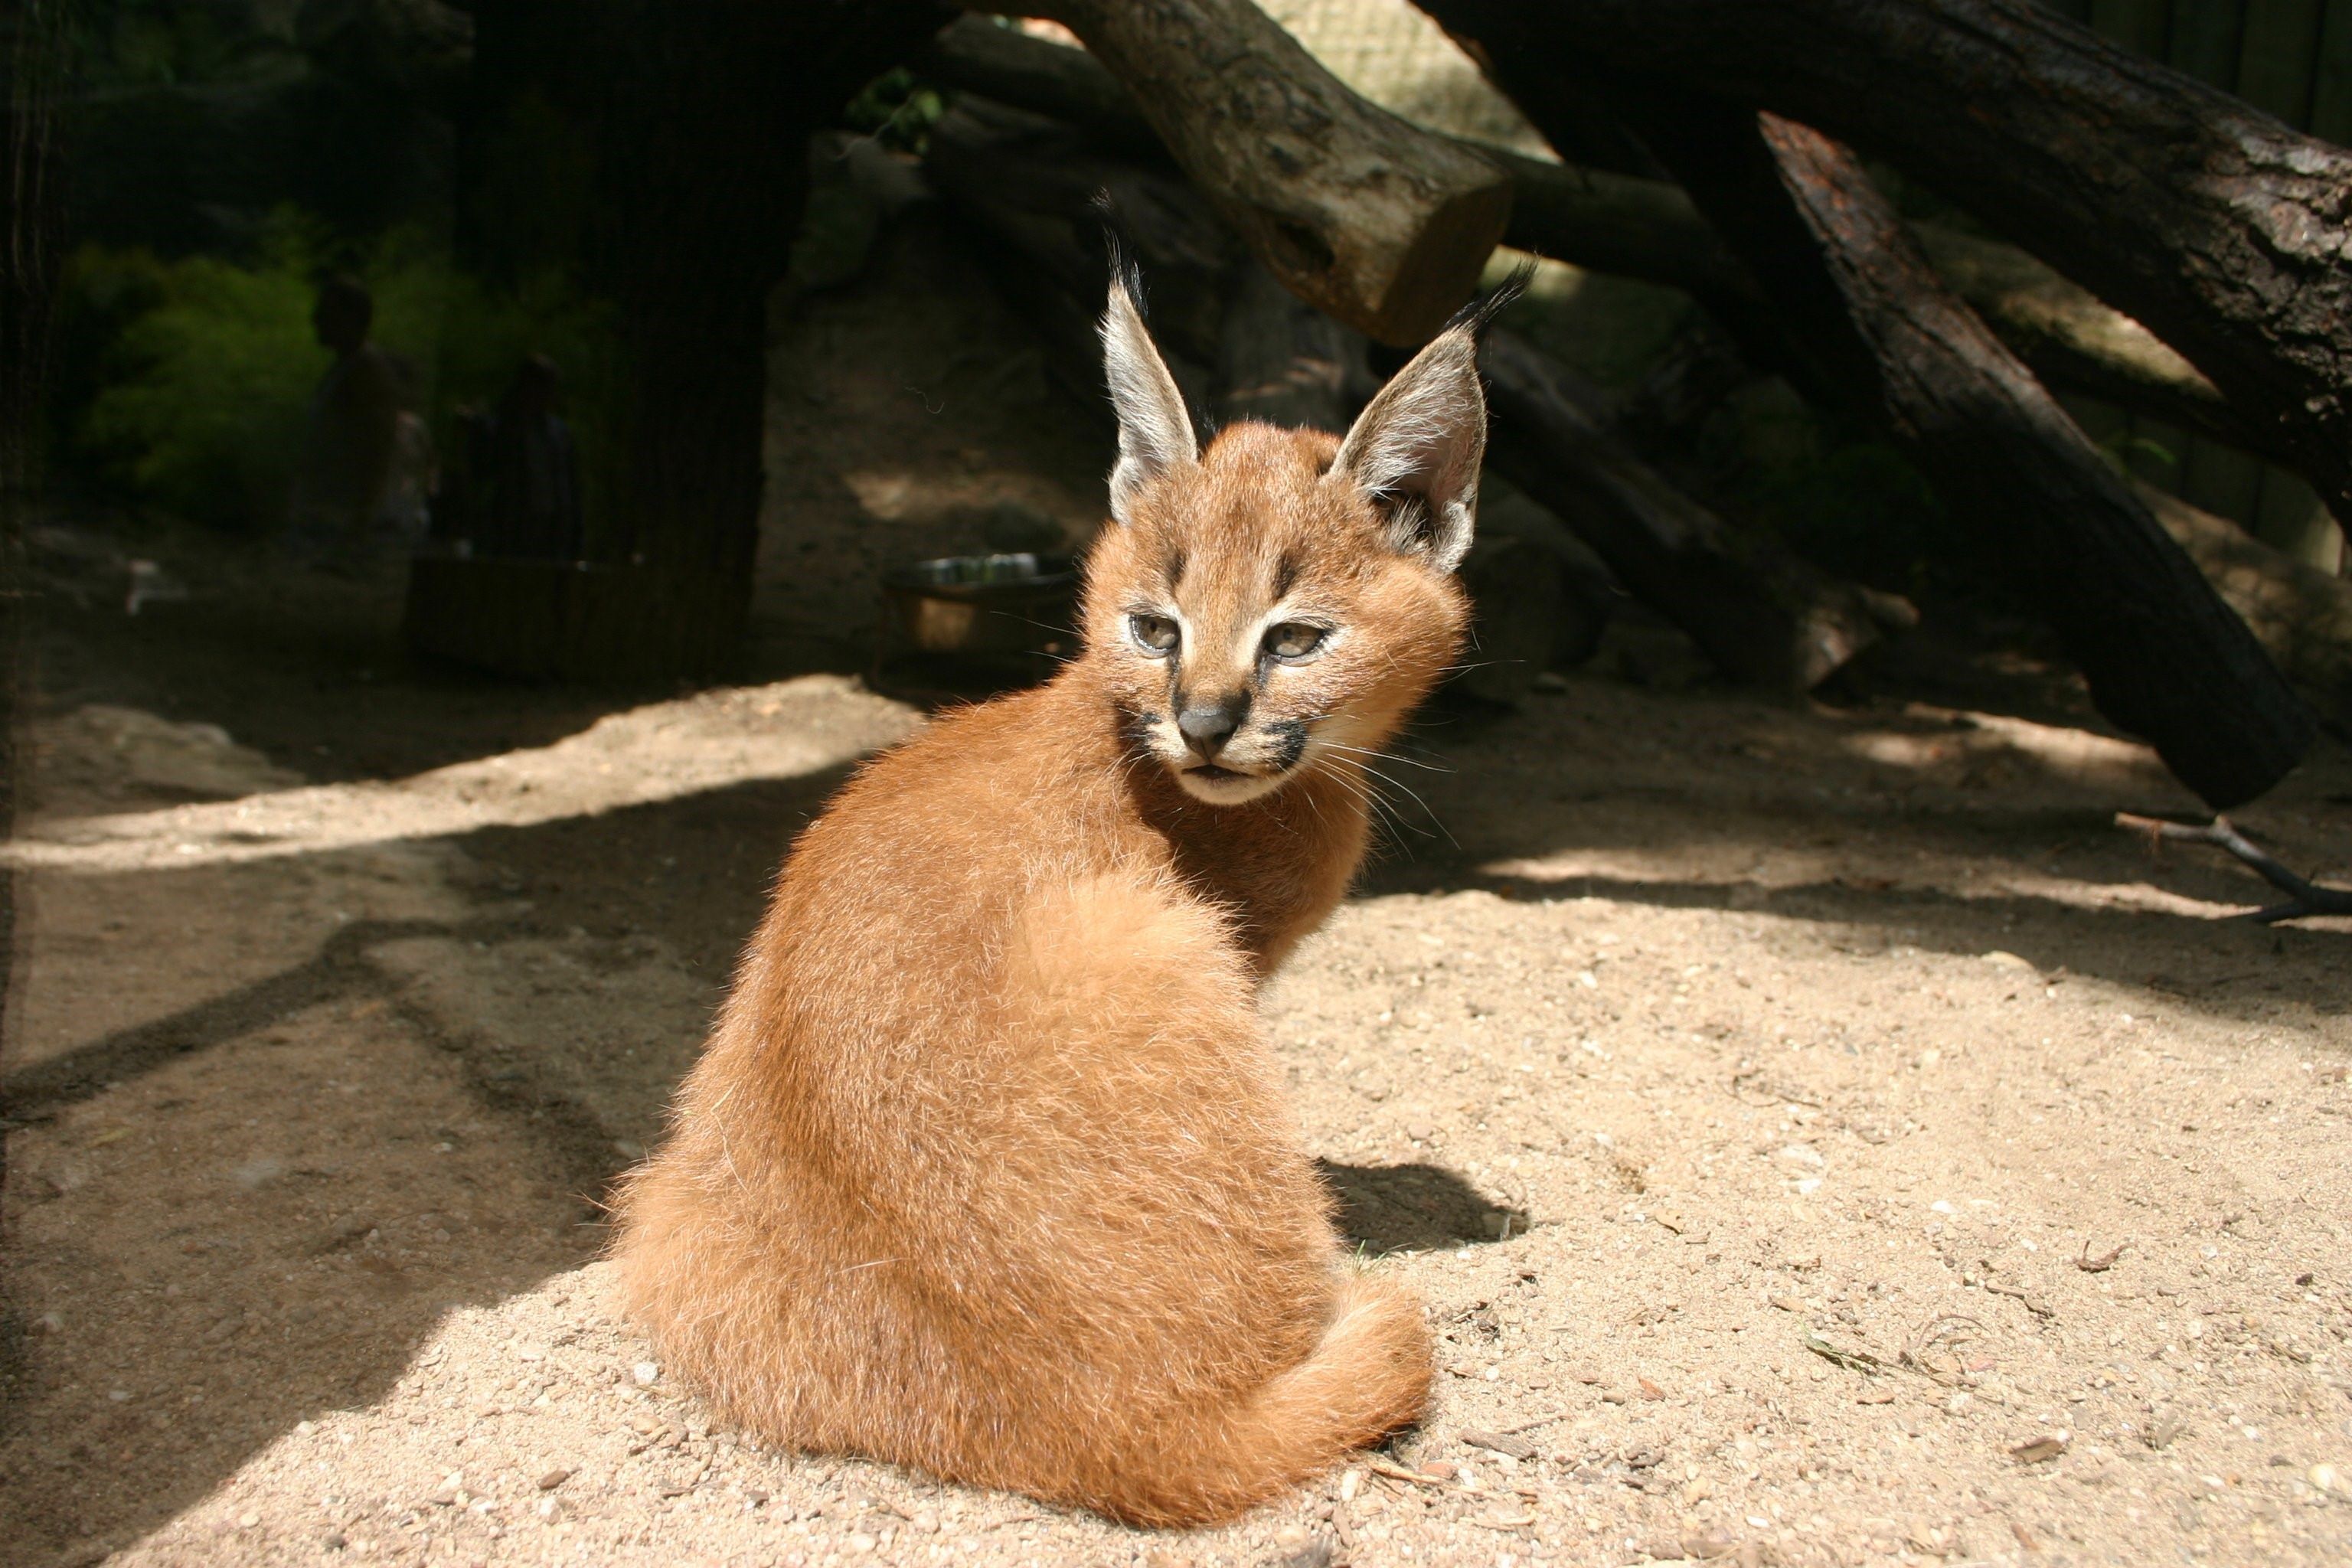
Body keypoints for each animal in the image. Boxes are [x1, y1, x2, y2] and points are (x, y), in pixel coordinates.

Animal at [621, 263, 1505, 1523]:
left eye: (1294, 641)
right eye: (1154, 629)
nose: (1204, 722)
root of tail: (1124, 1439)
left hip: (667, 1202)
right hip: (1155, 941)